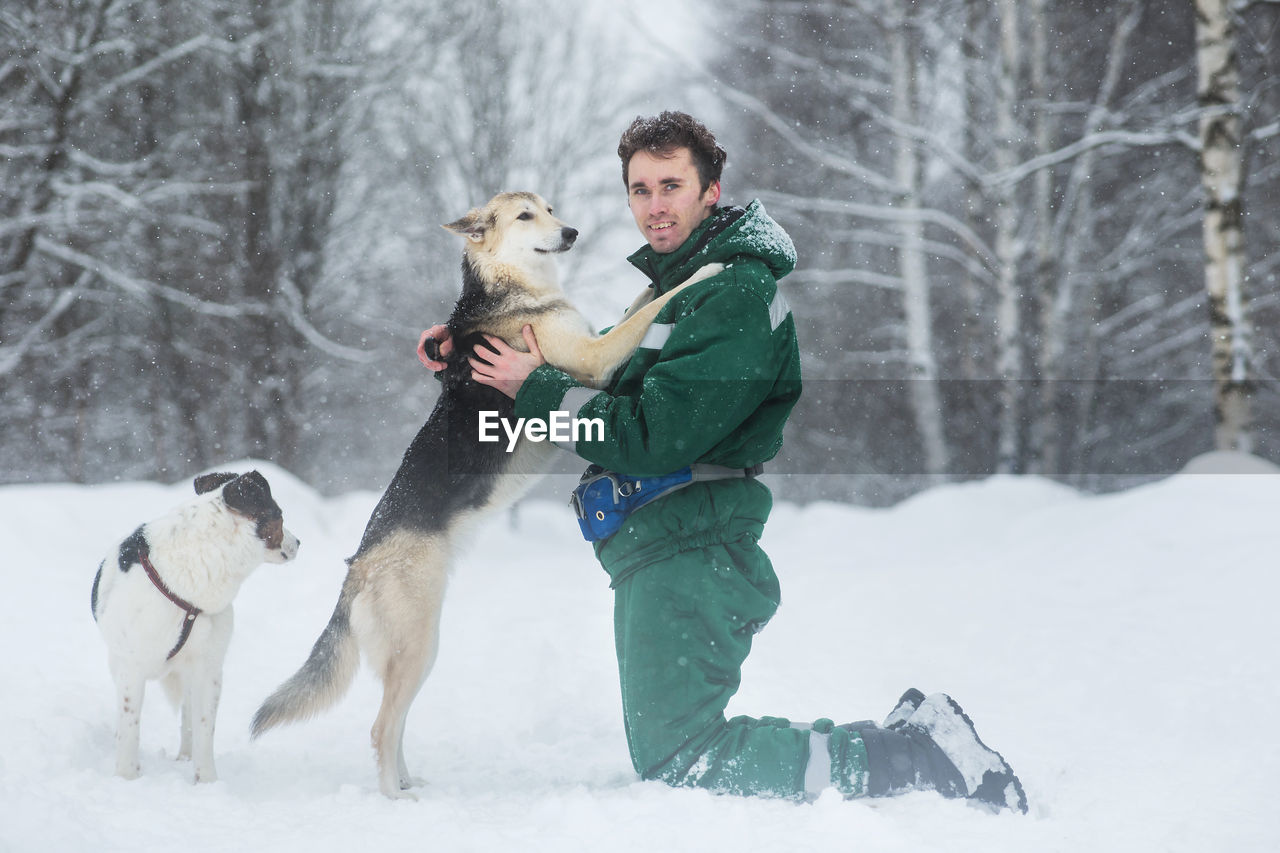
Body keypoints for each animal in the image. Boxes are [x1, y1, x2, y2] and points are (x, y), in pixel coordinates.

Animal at [90, 468, 299, 778]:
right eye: (280, 514)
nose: (298, 543)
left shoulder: (208, 668)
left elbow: (203, 727)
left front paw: (206, 780)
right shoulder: (131, 667)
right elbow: (129, 726)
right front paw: (127, 776)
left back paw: (185, 757)